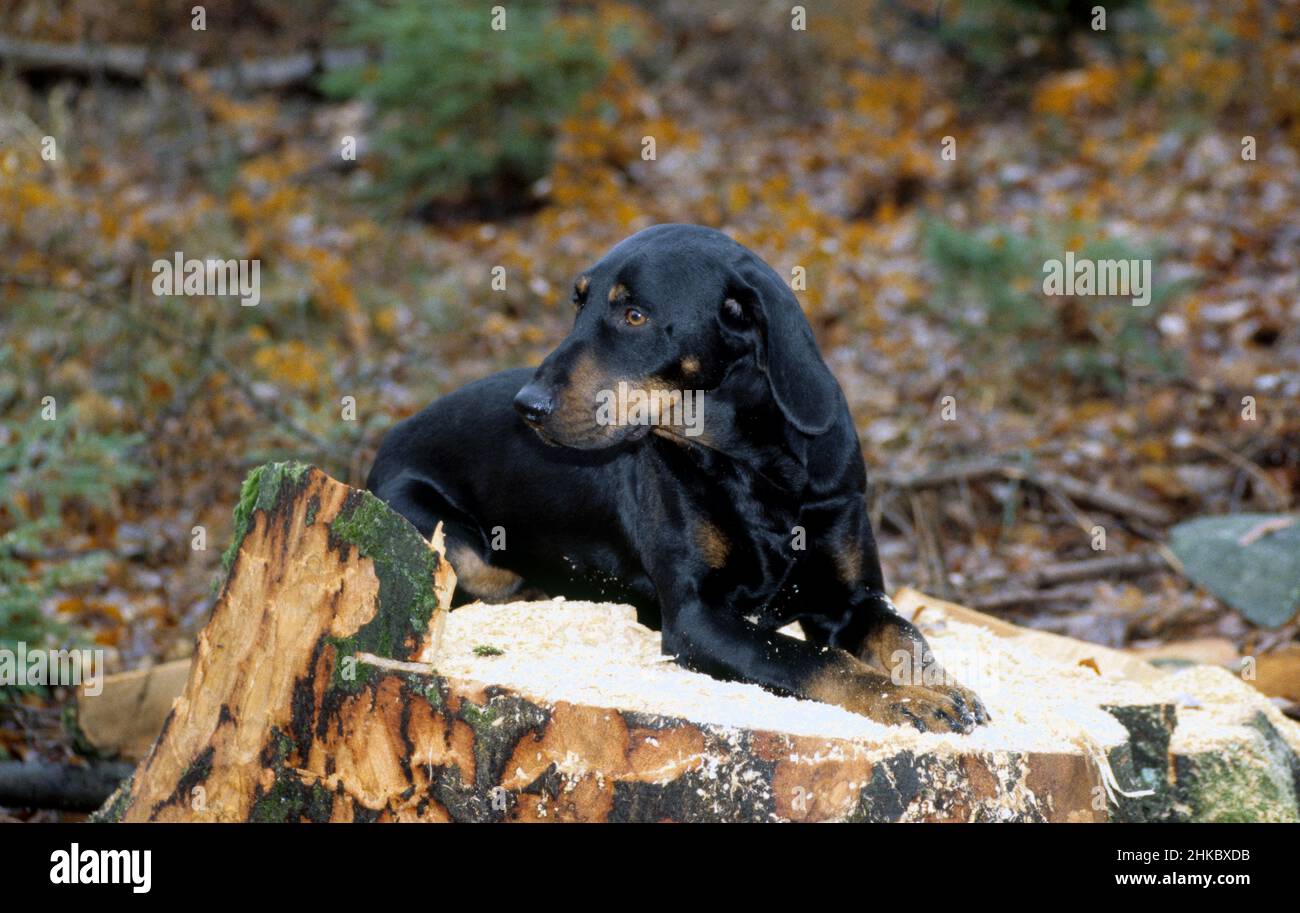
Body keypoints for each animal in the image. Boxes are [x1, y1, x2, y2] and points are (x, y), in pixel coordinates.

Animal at [366, 224, 982, 733]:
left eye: (635, 315)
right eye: (578, 304)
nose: (527, 407)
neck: (756, 467)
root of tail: (385, 443)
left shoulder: (853, 598)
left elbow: (906, 636)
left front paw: (940, 688)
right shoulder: (696, 618)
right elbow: (817, 659)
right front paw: (904, 699)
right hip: (454, 545)